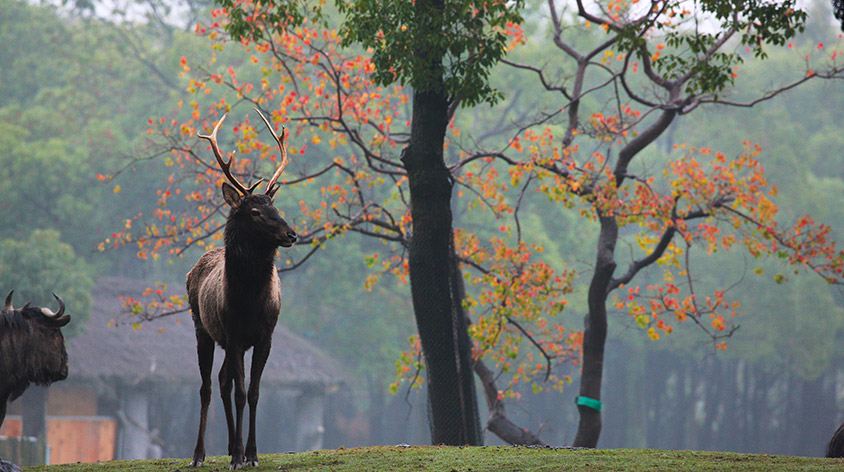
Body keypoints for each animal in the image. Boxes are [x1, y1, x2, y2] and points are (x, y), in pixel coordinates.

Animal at [187, 109, 296, 468]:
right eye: (255, 211)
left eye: (277, 207)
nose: (291, 234)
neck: (249, 301)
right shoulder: (234, 335)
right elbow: (240, 391)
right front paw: (238, 456)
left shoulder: (264, 336)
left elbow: (254, 392)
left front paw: (251, 453)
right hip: (202, 329)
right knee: (208, 387)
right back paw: (199, 454)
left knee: (222, 381)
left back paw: (230, 447)